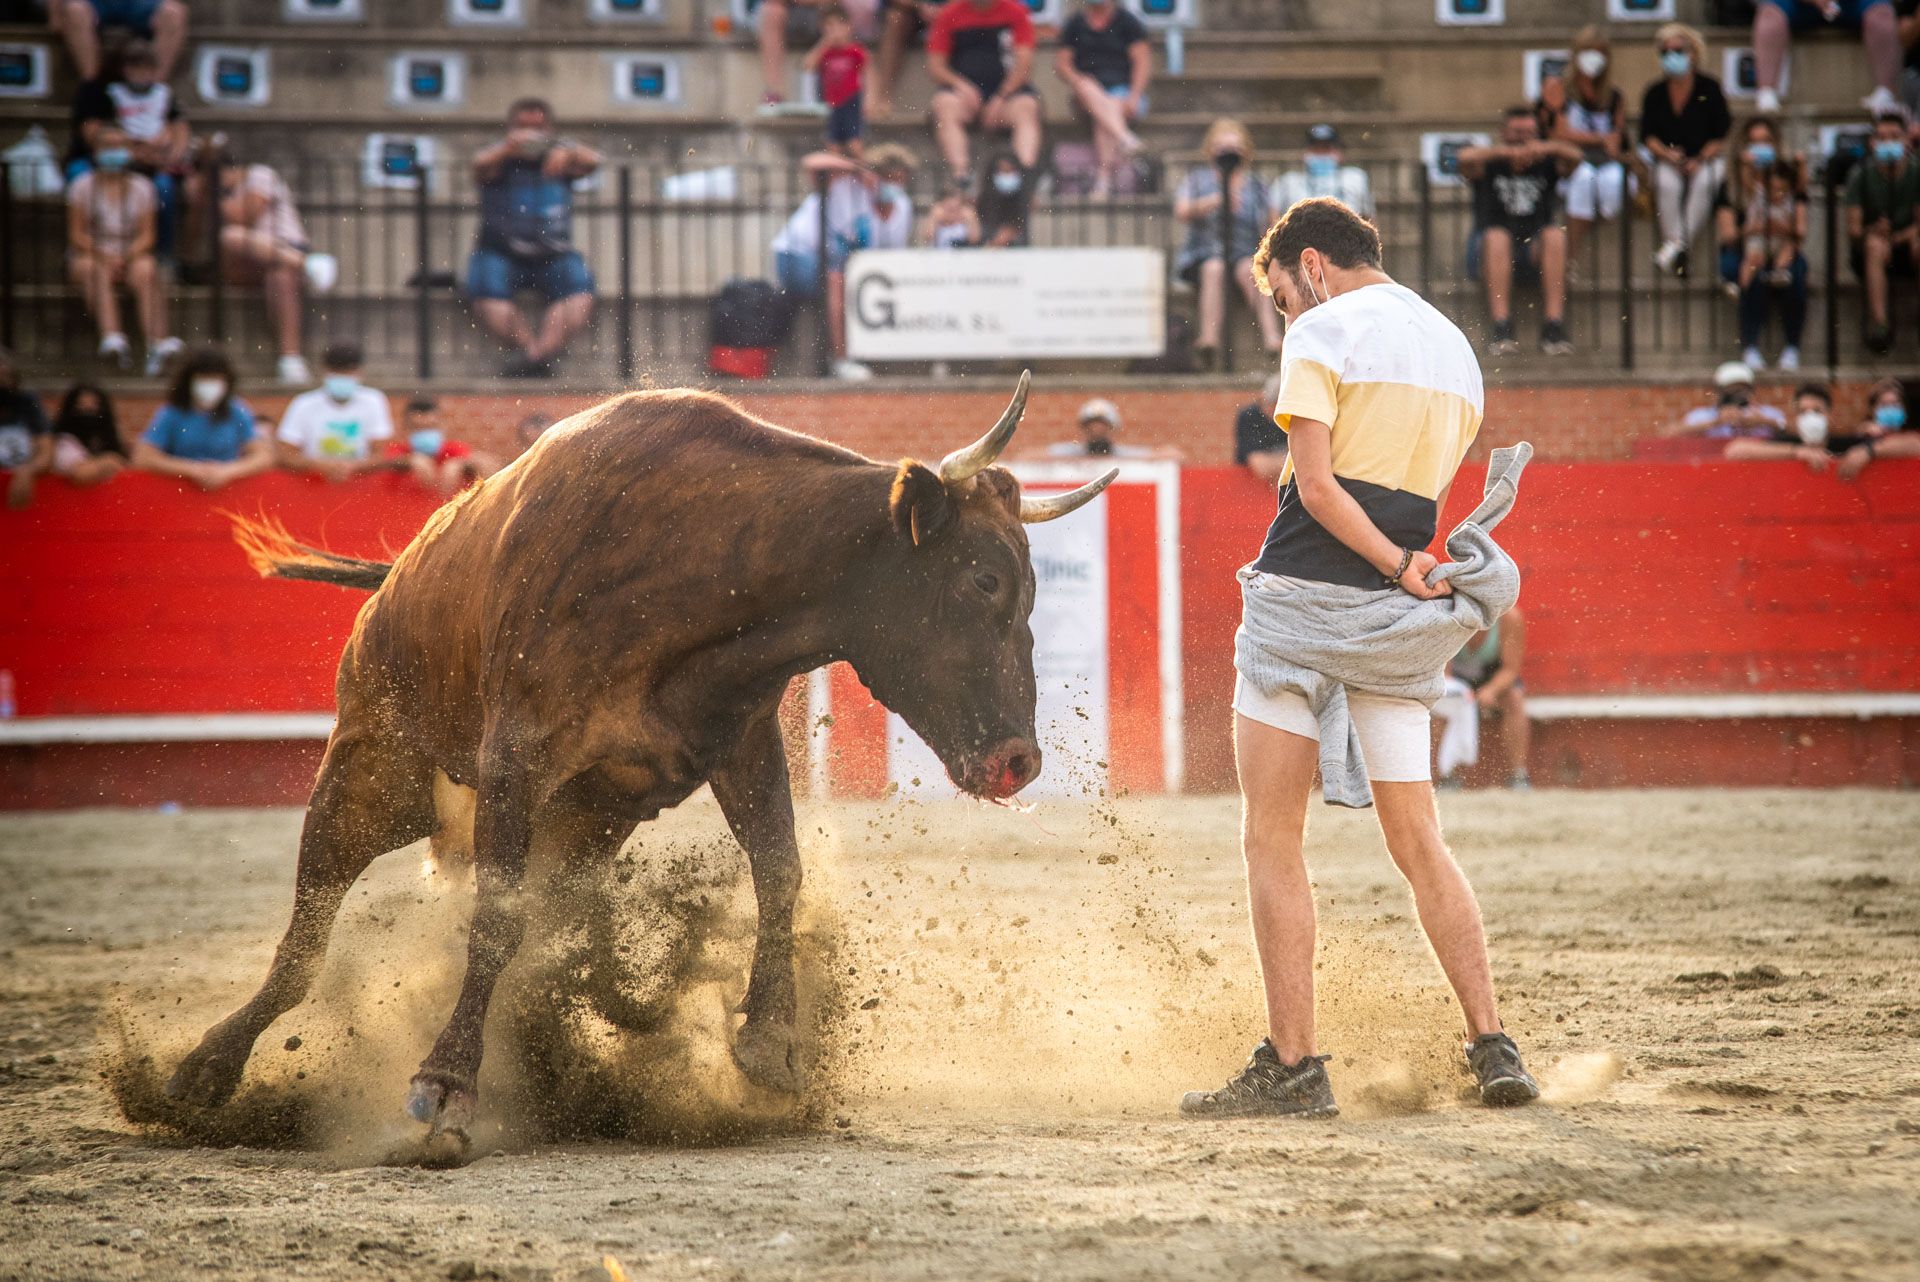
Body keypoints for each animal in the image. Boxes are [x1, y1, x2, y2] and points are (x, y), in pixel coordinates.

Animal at [172, 372, 1121, 1143]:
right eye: (983, 579)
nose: (1018, 763)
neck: (707, 563)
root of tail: (394, 581)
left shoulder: (738, 742)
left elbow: (779, 868)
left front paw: (769, 1044)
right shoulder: (517, 757)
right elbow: (497, 916)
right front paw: (445, 1087)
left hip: (583, 821)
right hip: (372, 770)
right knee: (308, 931)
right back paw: (201, 1069)